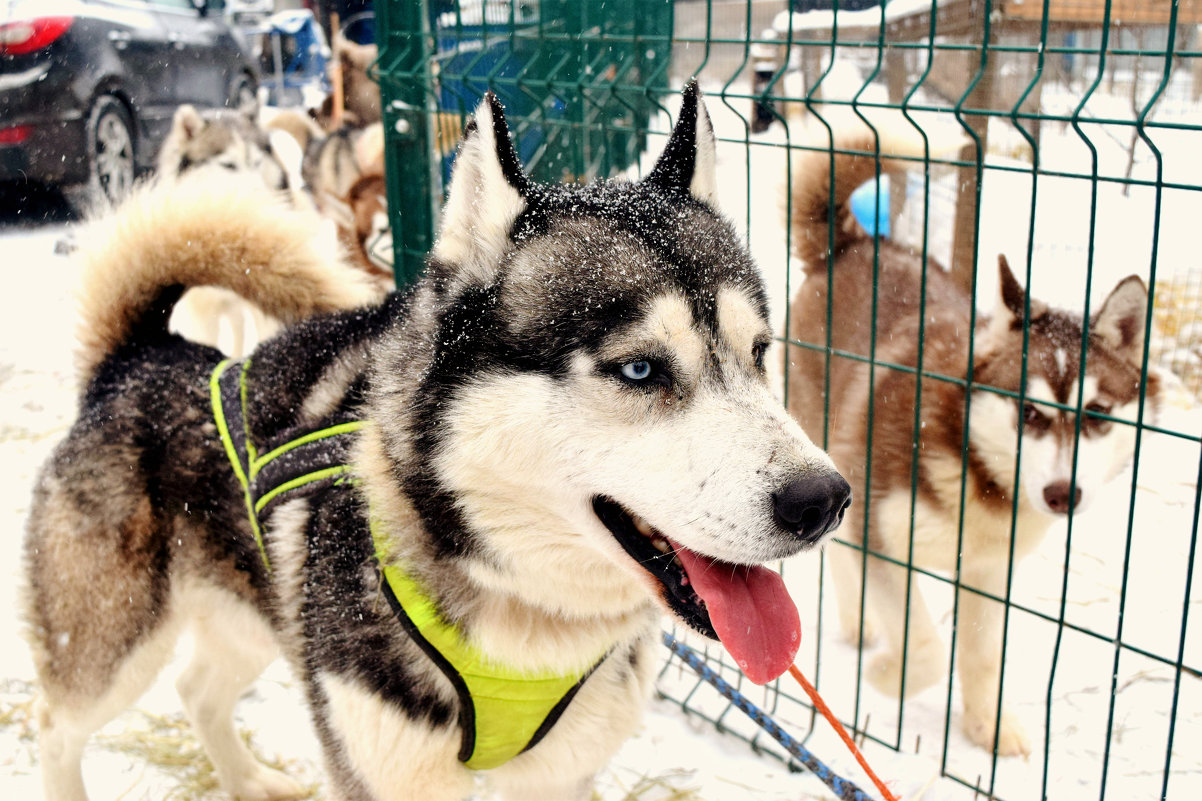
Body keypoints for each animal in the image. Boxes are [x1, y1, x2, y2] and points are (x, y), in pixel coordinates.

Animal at [25, 85, 855, 798]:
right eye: (640, 368)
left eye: (761, 352)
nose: (823, 500)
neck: (525, 621)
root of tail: (140, 354)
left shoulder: (559, 774)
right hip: (110, 645)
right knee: (57, 730)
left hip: (254, 618)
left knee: (198, 689)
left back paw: (250, 780)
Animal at [783, 132, 1158, 755]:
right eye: (1028, 412)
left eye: (1098, 413)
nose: (1063, 494)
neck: (977, 472)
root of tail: (854, 243)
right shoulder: (880, 535)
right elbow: (926, 649)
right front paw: (886, 676)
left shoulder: (989, 571)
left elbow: (983, 658)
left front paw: (989, 727)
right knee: (837, 550)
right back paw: (861, 624)